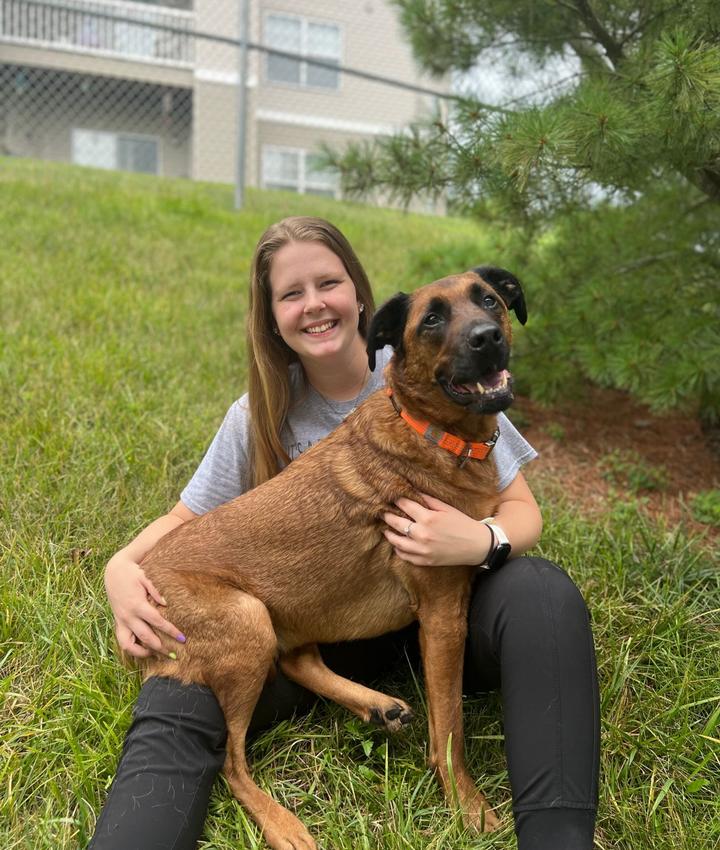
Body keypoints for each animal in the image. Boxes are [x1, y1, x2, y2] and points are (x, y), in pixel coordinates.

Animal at [135, 266, 524, 848]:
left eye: (490, 301)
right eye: (431, 318)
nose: (488, 337)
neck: (434, 435)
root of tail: (143, 572)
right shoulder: (440, 613)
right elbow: (450, 726)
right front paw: (467, 805)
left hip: (290, 610)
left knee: (296, 661)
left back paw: (375, 705)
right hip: (248, 621)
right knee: (229, 760)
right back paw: (283, 825)